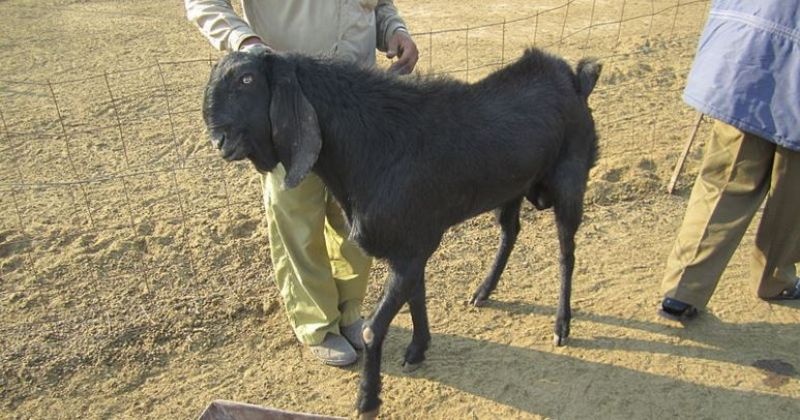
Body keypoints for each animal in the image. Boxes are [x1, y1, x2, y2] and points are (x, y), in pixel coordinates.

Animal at [202, 48, 601, 418]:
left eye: (247, 80)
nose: (219, 139)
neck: (373, 145)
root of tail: (575, 79)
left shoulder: (410, 251)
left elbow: (371, 328)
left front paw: (367, 401)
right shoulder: (413, 246)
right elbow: (416, 298)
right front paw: (417, 350)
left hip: (570, 176)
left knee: (566, 252)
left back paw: (561, 325)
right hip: (513, 186)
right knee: (511, 230)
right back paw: (483, 291)